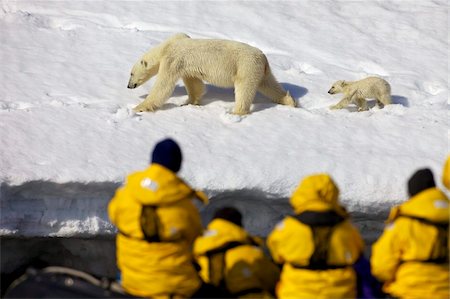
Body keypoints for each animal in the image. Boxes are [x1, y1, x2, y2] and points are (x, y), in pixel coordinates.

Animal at [126, 33, 296, 115]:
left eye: (131, 73)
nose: (128, 86)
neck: (166, 47)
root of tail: (263, 58)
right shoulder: (185, 62)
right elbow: (194, 84)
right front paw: (188, 102)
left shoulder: (172, 60)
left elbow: (163, 87)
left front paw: (138, 107)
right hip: (260, 71)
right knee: (269, 85)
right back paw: (290, 101)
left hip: (245, 67)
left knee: (244, 89)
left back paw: (236, 112)